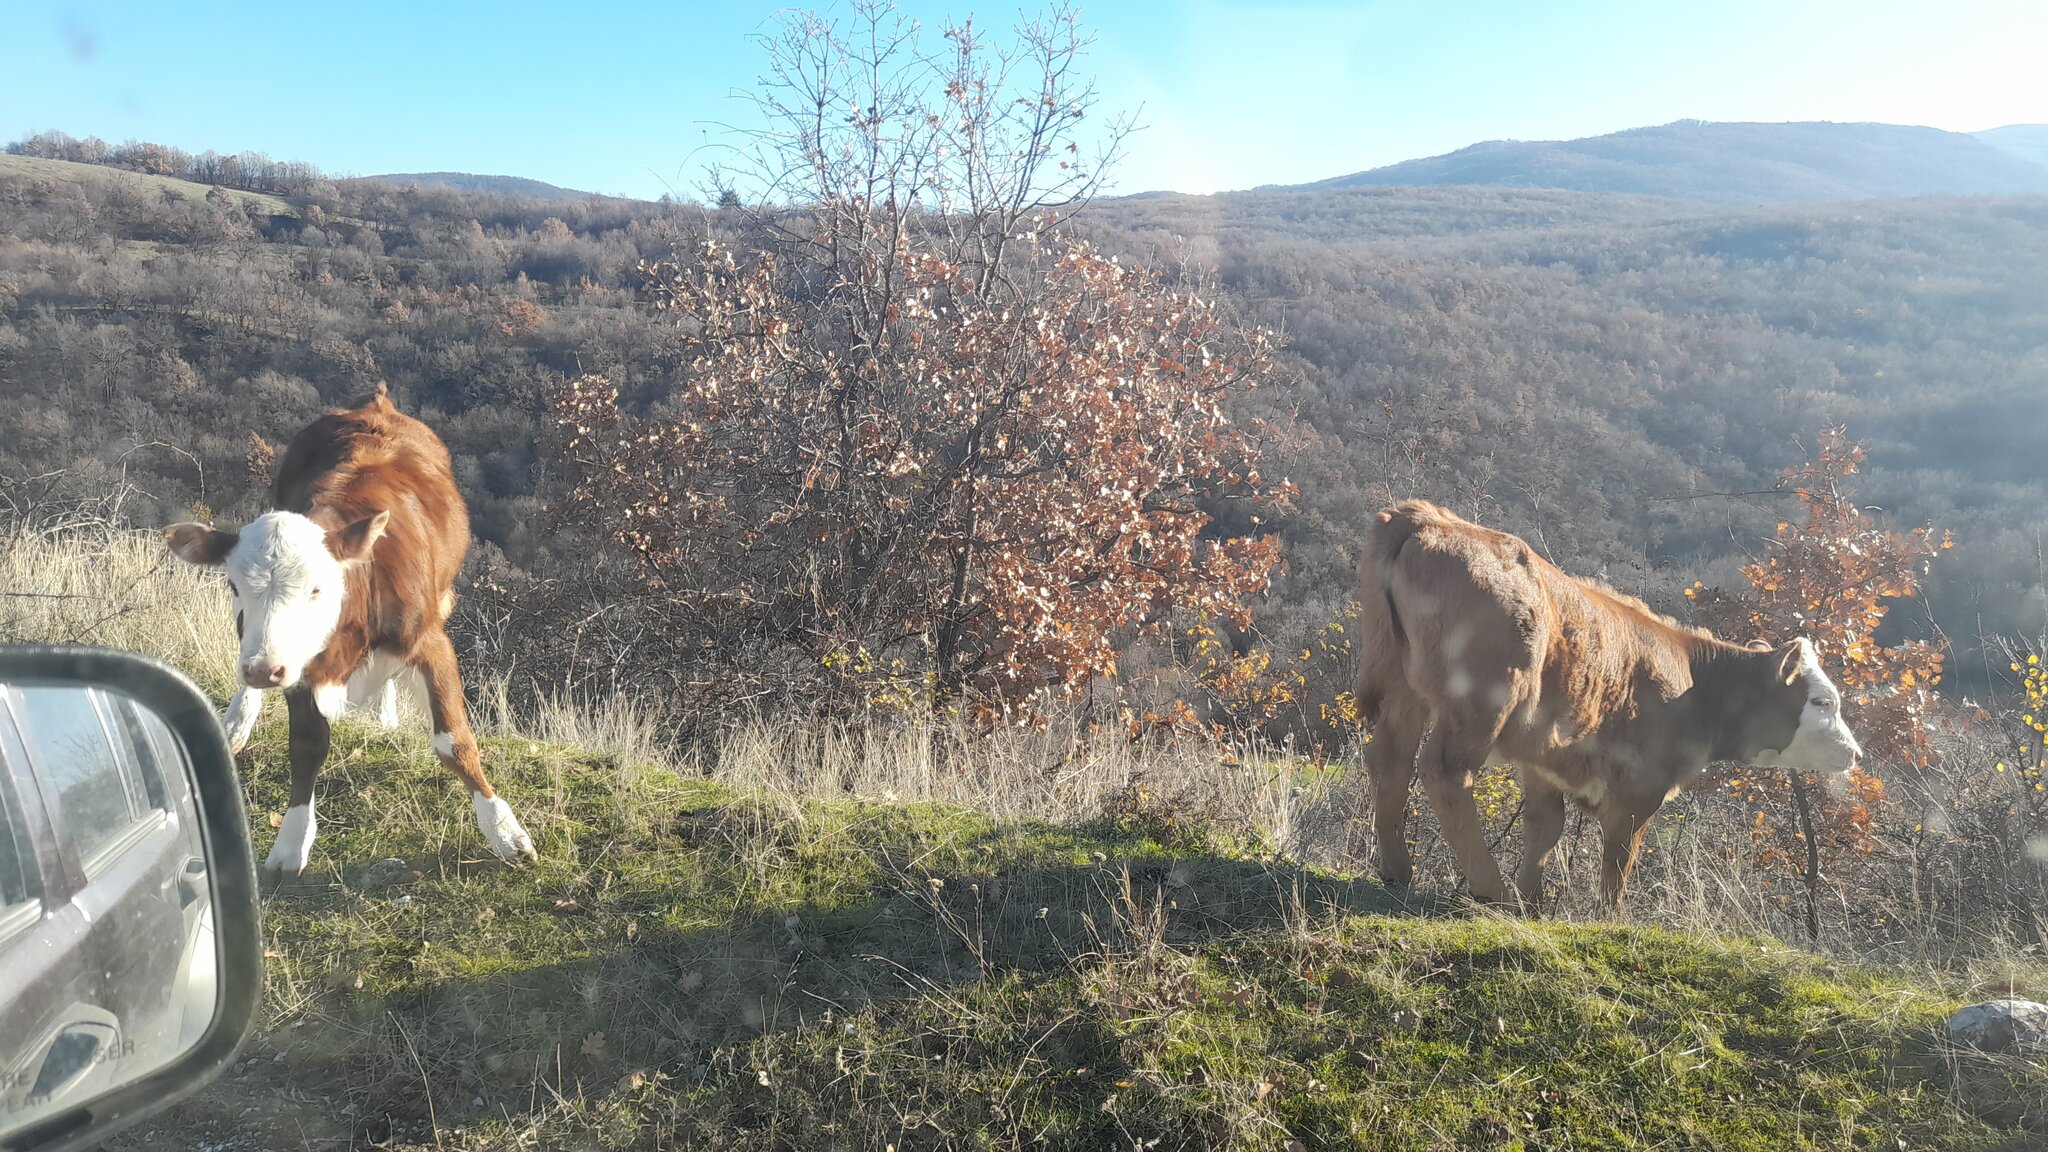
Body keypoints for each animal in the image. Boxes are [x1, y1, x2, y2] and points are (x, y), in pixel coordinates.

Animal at [164, 383, 537, 876]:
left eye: (317, 589)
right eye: (232, 585)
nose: (263, 670)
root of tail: (377, 403)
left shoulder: (430, 642)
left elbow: (454, 742)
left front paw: (505, 832)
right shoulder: (300, 666)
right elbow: (306, 745)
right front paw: (290, 841)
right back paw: (239, 718)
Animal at [1355, 499, 1862, 912]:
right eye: (1823, 701)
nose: (1855, 752)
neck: (1695, 684)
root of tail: (1430, 517)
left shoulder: (1545, 758)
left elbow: (1545, 827)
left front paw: (1531, 902)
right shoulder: (1642, 785)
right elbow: (1619, 859)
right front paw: (1606, 916)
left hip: (1404, 688)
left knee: (1389, 759)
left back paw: (1397, 870)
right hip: (1483, 696)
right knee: (1444, 771)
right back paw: (1488, 889)